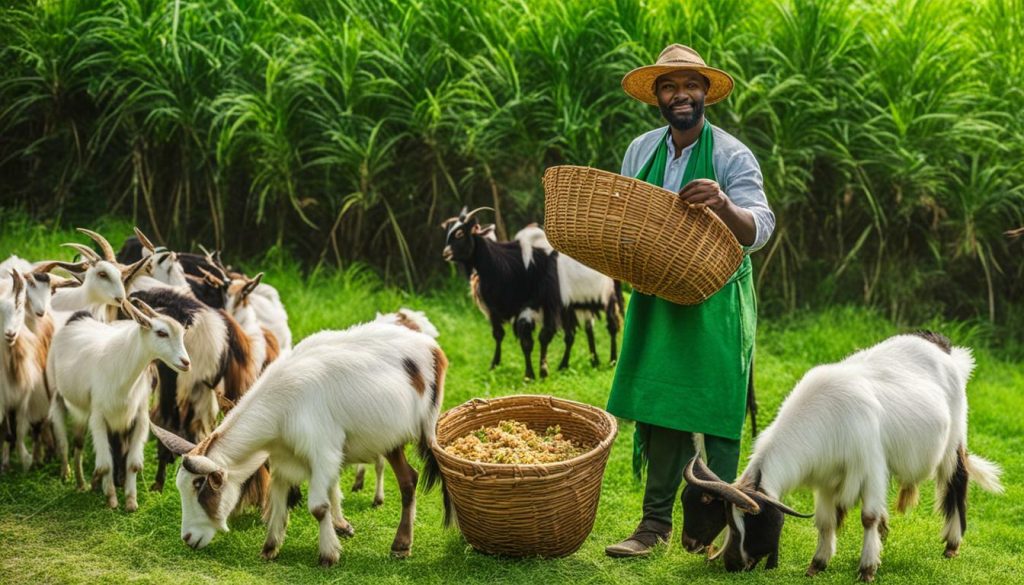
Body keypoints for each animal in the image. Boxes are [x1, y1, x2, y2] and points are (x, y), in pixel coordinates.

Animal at [47, 299, 190, 510]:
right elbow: (106, 463)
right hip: (57, 393)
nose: (186, 362)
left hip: (83, 412)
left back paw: (82, 483)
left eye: (182, 334)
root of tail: (78, 318)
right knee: (64, 440)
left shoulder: (139, 417)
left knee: (78, 444)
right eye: (161, 332)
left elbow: (133, 464)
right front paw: (112, 499)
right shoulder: (98, 416)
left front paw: (130, 500)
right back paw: (66, 473)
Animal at [149, 319, 452, 569]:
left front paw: (328, 554)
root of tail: (433, 349)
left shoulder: (323, 452)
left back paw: (401, 544)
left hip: (422, 429)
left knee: (409, 480)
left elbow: (318, 507)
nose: (188, 537)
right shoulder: (283, 457)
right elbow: (278, 499)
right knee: (409, 479)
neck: (282, 404)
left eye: (199, 486)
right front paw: (270, 548)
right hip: (389, 438)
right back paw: (401, 544)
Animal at [440, 207, 561, 383]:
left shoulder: (527, 305)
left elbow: (527, 341)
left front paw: (529, 375)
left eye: (460, 233)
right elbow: (498, 335)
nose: (445, 253)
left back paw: (546, 370)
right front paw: (493, 365)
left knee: (546, 335)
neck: (499, 266)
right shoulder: (492, 309)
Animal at [512, 225, 622, 368]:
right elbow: (569, 336)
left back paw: (612, 360)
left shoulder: (554, 306)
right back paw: (595, 361)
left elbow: (545, 335)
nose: (528, 374)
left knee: (612, 326)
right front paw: (563, 365)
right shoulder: (567, 308)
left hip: (608, 297)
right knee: (589, 328)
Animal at [679, 331, 999, 581]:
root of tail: (945, 349)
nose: (732, 564)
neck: (825, 413)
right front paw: (817, 565)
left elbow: (868, 517)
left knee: (956, 482)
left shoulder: (870, 466)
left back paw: (952, 545)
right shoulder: (825, 477)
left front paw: (867, 569)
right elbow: (825, 521)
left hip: (953, 441)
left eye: (750, 520)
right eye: (726, 518)